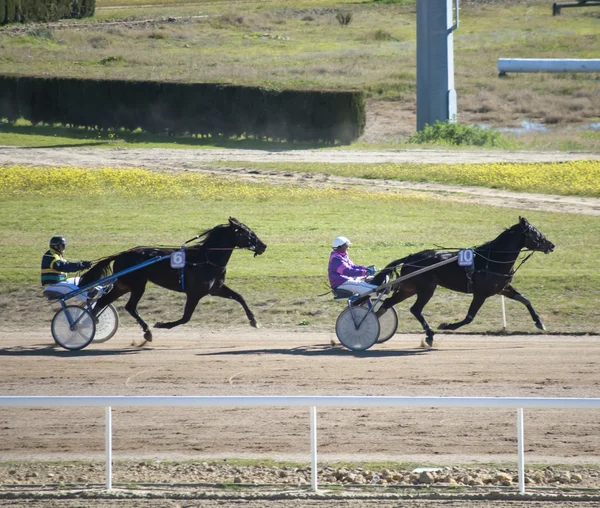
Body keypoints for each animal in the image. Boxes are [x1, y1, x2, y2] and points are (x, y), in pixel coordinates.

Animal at [78, 216, 268, 344]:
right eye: (249, 233)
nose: (263, 246)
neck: (206, 259)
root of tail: (121, 254)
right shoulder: (195, 293)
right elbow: (185, 318)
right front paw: (162, 325)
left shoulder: (215, 289)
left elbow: (239, 297)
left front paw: (254, 321)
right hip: (137, 285)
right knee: (130, 306)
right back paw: (146, 332)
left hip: (123, 285)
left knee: (103, 301)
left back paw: (87, 324)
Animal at [368, 216, 556, 348]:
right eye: (535, 232)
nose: (551, 245)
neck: (492, 259)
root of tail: (410, 257)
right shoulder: (480, 294)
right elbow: (469, 318)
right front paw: (446, 325)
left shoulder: (503, 288)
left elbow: (525, 299)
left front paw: (539, 322)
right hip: (427, 288)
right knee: (415, 309)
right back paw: (429, 335)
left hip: (410, 288)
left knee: (388, 303)